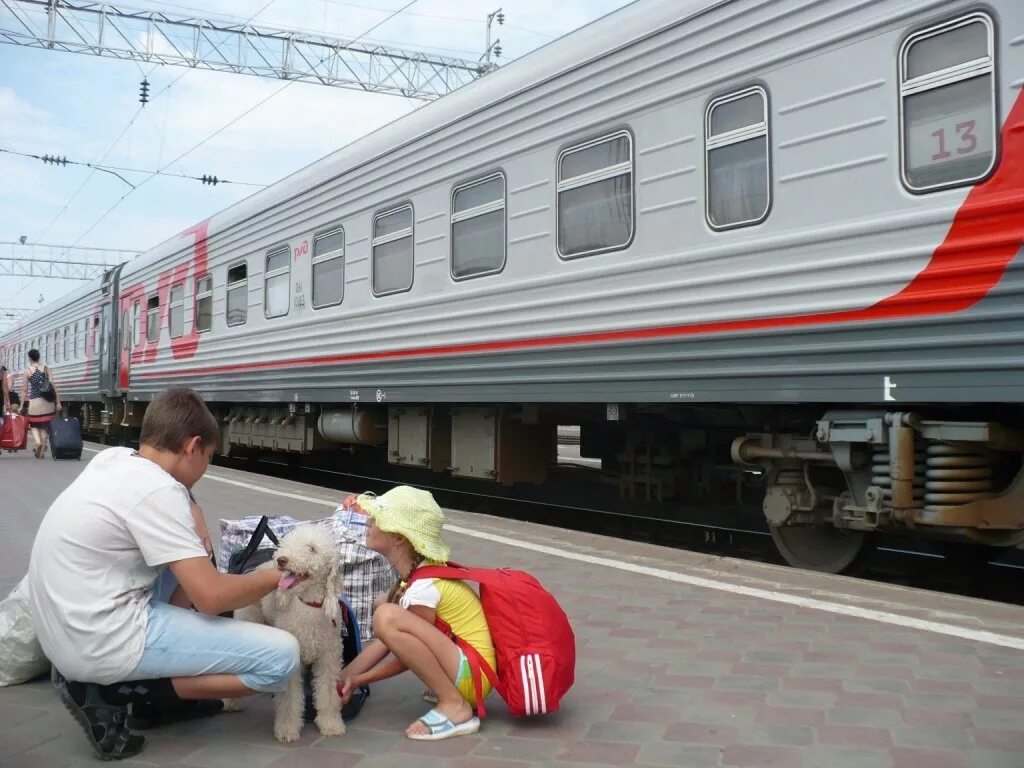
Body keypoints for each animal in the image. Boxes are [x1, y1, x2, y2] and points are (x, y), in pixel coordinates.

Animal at [230, 528, 346, 741]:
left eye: (312, 548)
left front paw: (331, 724)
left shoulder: (329, 658)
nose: (281, 560)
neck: (308, 605)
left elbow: (327, 694)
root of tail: (256, 568)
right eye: (286, 544)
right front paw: (287, 729)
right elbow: (289, 700)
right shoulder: (294, 663)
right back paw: (232, 702)